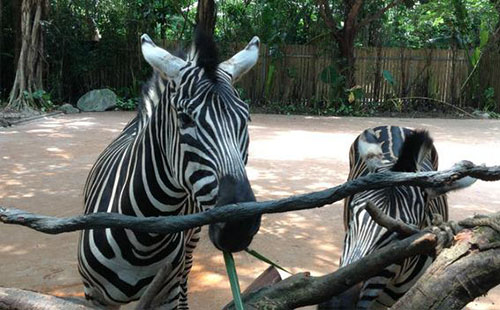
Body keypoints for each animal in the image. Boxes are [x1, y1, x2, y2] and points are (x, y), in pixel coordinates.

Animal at [77, 27, 262, 308]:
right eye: (184, 118)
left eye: (246, 118)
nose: (238, 226)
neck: (143, 243)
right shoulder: (94, 296)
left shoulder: (165, 294)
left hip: (191, 241)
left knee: (186, 273)